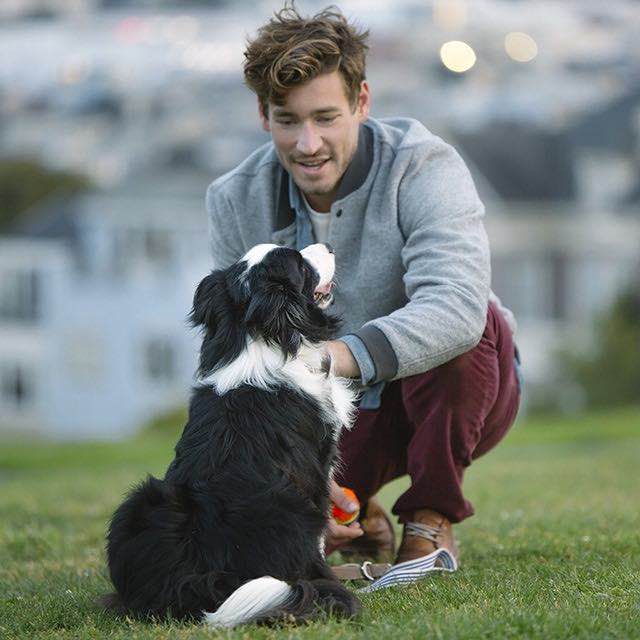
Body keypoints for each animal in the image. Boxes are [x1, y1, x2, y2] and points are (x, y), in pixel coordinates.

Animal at [104, 244, 360, 624]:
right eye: (301, 266)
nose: (327, 246)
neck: (257, 338)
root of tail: (207, 580)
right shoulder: (317, 467)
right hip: (294, 511)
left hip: (143, 504)